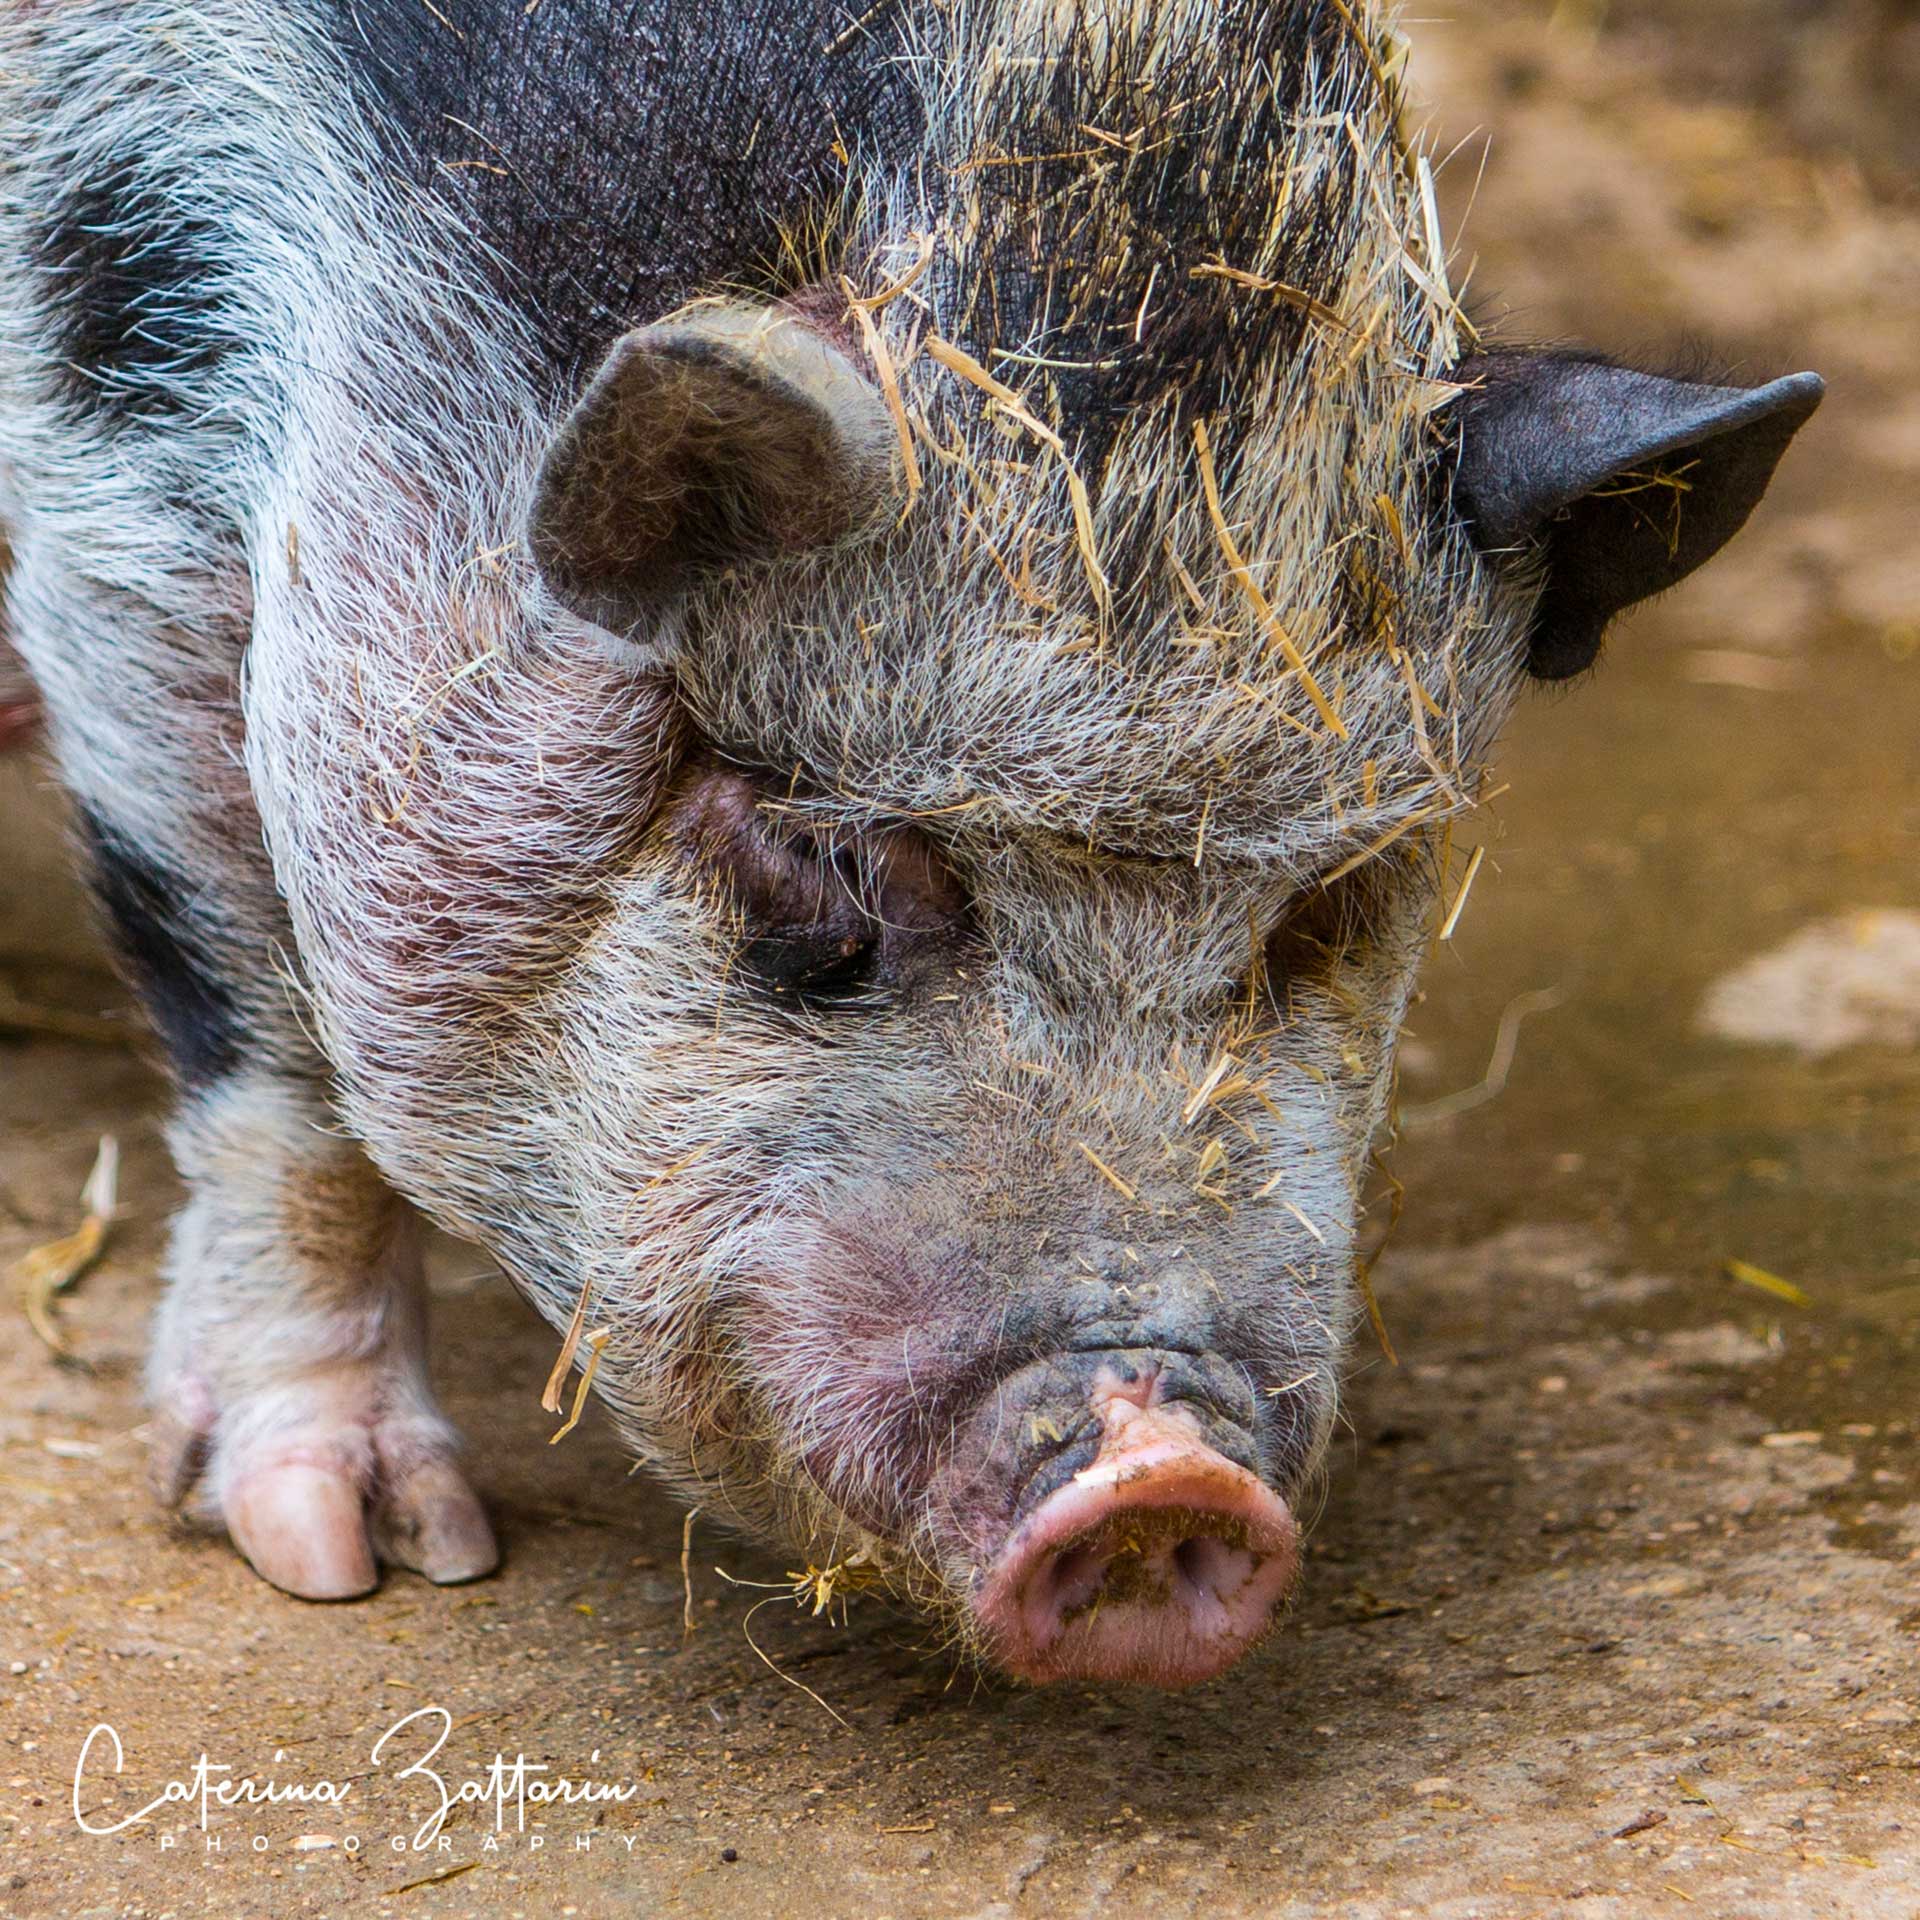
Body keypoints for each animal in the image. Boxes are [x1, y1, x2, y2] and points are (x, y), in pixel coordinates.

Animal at [0, 0, 1820, 1687]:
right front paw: (375, 1560)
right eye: (840, 858)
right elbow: (272, 1052)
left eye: (1329, 899)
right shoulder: (115, 469)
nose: (1161, 1474)